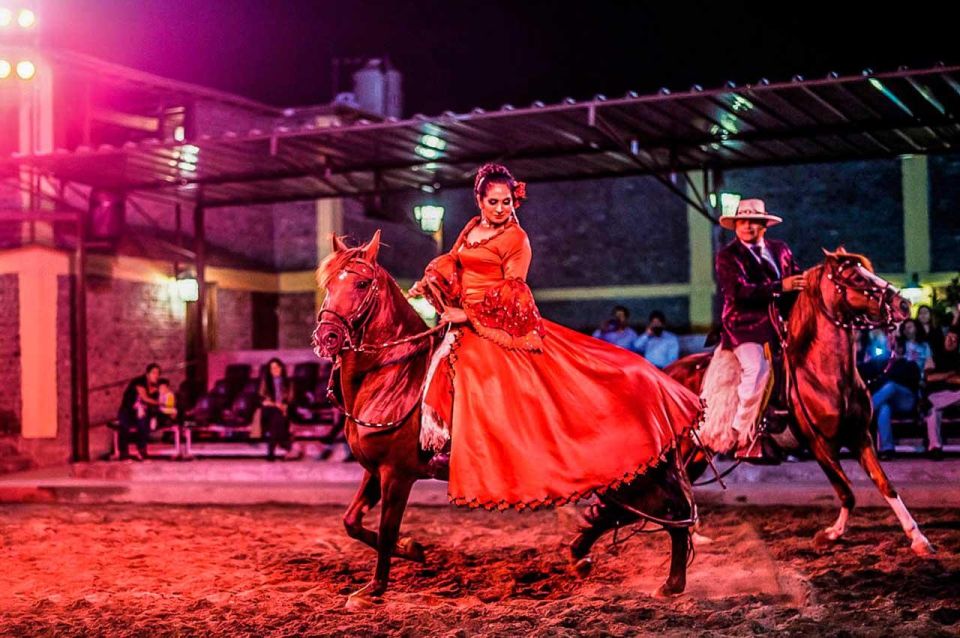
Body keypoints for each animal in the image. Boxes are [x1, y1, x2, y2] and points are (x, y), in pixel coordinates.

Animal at [316, 234, 696, 608]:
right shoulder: (375, 469)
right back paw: (585, 558)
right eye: (329, 283)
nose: (327, 337)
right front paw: (412, 550)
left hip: (636, 472)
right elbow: (351, 522)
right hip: (624, 475)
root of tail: (663, 383)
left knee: (671, 512)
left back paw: (670, 584)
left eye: (362, 283)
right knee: (627, 512)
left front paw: (373, 589)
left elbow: (385, 530)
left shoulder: (397, 473)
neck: (396, 377)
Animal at [664, 248, 932, 556]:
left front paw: (918, 538)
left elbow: (885, 485)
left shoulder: (859, 437)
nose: (903, 304)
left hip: (698, 452)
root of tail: (666, 372)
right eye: (855, 277)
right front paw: (829, 535)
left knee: (685, 485)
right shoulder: (818, 444)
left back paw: (694, 536)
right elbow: (846, 492)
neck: (823, 374)